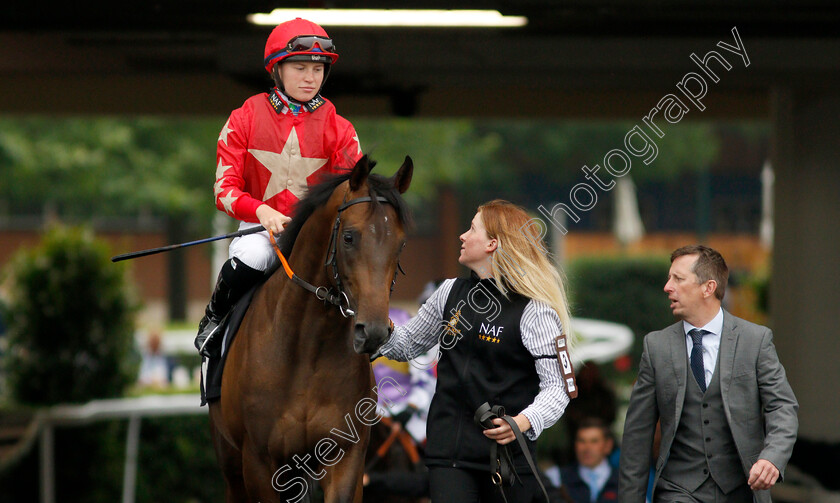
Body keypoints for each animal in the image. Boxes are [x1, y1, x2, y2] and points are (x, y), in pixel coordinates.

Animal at [210, 156, 414, 502]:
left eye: (400, 244)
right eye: (349, 237)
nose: (373, 331)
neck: (306, 350)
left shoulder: (345, 453)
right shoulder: (258, 461)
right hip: (231, 461)